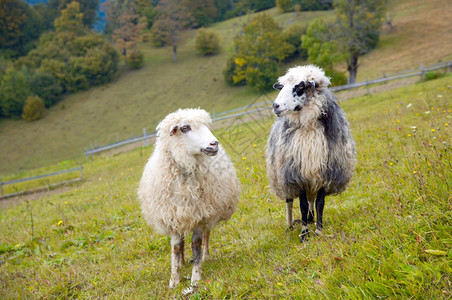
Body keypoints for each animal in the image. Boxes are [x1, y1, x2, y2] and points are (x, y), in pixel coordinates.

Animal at [138, 108, 242, 288]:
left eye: (207, 125)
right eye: (185, 128)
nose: (214, 144)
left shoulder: (201, 214)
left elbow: (196, 244)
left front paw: (195, 277)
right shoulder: (172, 216)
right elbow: (176, 247)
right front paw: (174, 280)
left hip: (210, 209)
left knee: (207, 234)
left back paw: (205, 256)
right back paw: (181, 262)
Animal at [264, 65, 356, 241]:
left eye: (300, 86)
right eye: (281, 86)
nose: (275, 106)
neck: (308, 126)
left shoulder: (325, 172)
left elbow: (320, 204)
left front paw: (319, 230)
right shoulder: (296, 174)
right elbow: (302, 205)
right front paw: (304, 234)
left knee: (312, 199)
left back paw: (312, 219)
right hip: (282, 174)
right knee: (289, 201)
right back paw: (290, 225)